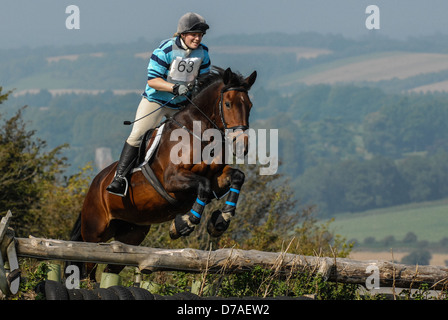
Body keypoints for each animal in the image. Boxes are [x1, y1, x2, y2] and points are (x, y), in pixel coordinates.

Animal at [71, 67, 258, 278]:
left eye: (249, 105)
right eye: (227, 104)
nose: (242, 145)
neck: (200, 134)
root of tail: (95, 184)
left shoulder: (216, 177)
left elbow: (237, 177)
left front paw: (221, 220)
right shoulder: (171, 179)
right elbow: (203, 185)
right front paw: (183, 224)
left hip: (131, 233)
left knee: (112, 267)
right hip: (94, 233)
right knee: (88, 271)